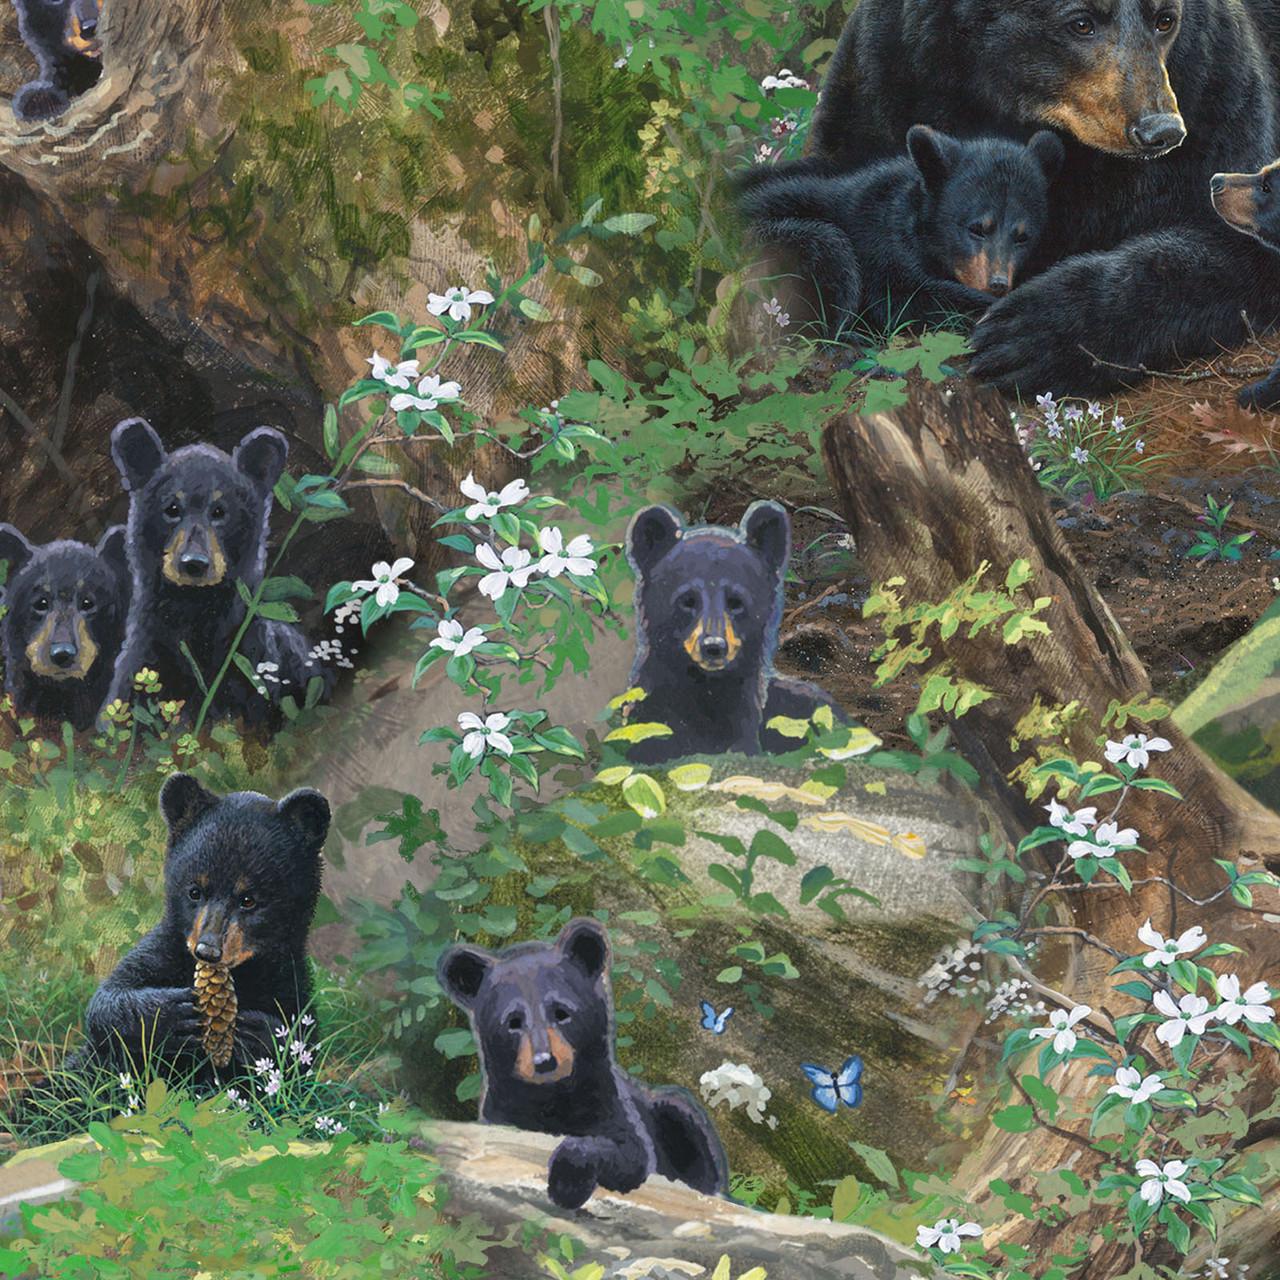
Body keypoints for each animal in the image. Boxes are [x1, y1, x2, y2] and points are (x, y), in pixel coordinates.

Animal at [79, 772, 331, 1079]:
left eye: (248, 900)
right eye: (195, 891)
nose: (208, 951)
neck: (242, 974)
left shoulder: (288, 981)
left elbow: (303, 1053)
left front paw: (260, 1032)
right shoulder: (164, 949)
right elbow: (106, 1003)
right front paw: (170, 1013)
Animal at [437, 917, 728, 1211]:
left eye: (562, 1012)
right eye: (513, 1021)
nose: (544, 1061)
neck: (552, 1095)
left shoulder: (610, 1102)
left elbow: (629, 1150)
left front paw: (566, 1182)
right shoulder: (502, 1117)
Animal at [738, 125, 1064, 337]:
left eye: (1023, 236)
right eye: (977, 228)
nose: (997, 283)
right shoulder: (879, 243)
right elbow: (907, 298)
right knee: (831, 255)